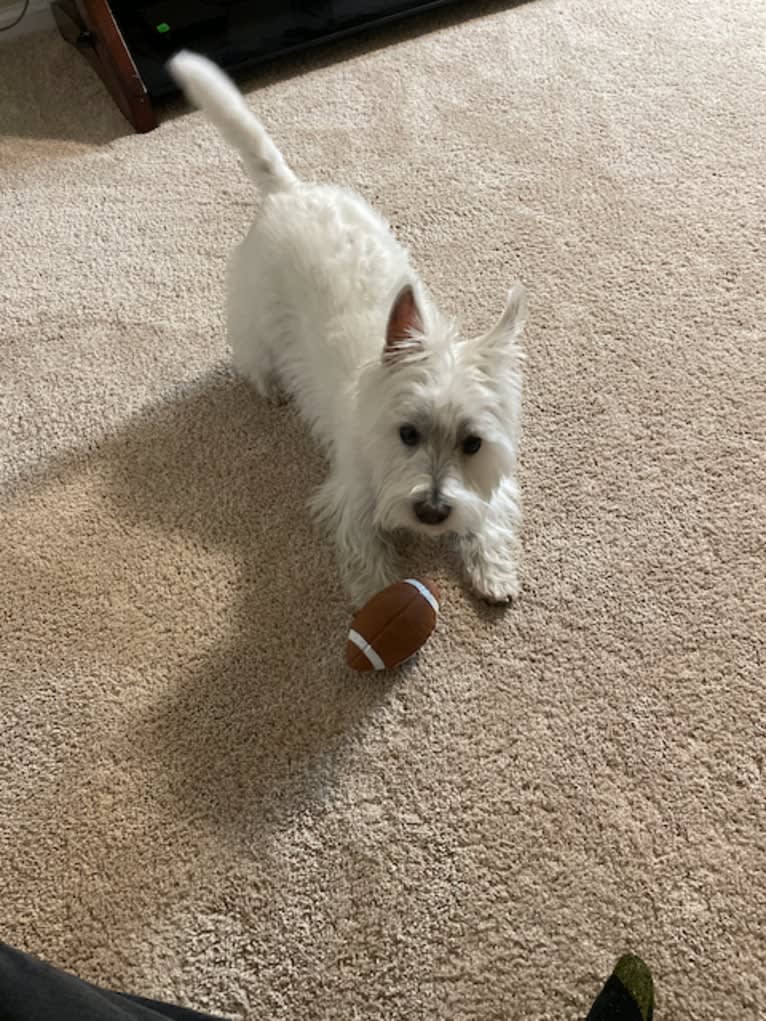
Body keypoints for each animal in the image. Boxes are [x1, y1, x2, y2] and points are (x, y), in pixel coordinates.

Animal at [169, 53, 527, 604]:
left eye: (473, 444)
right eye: (407, 433)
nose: (431, 512)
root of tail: (290, 190)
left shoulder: (487, 487)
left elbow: (486, 518)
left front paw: (494, 575)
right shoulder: (350, 497)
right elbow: (367, 556)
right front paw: (378, 600)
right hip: (254, 306)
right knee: (253, 350)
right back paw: (270, 387)